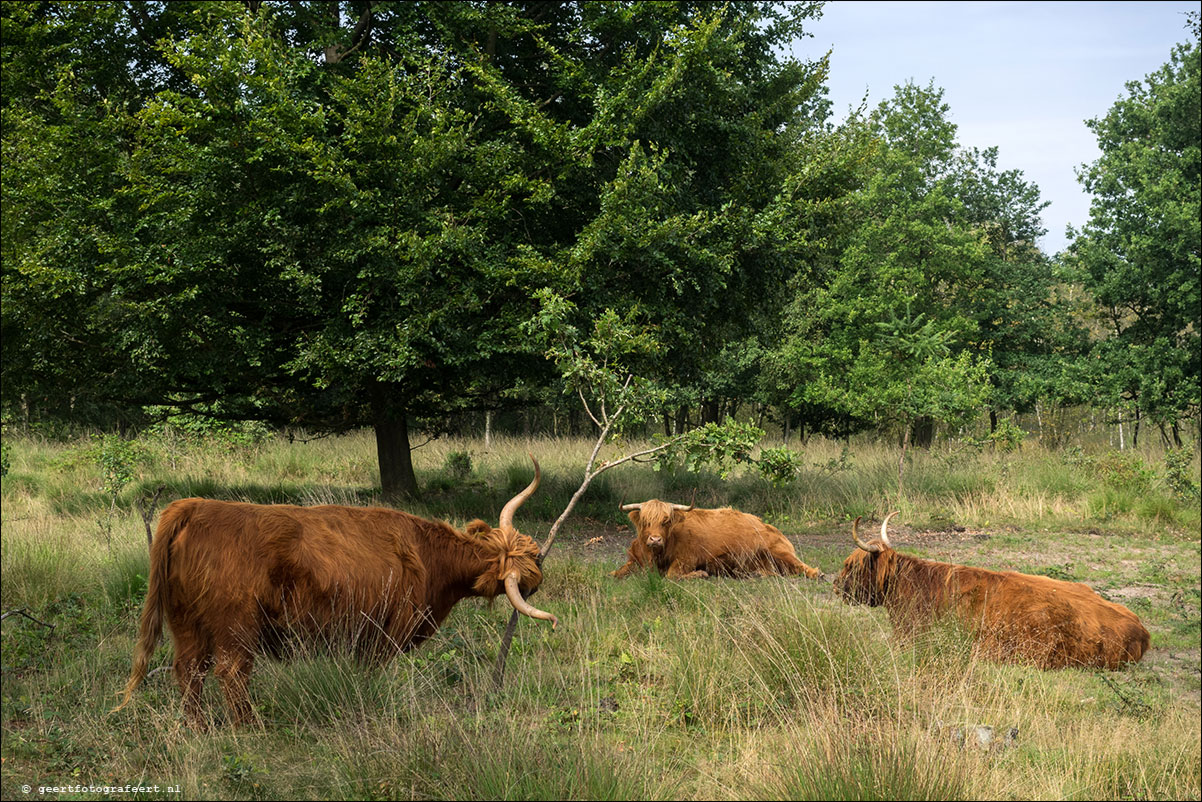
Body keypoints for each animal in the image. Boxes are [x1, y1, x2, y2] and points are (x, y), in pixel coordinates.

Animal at [610, 497, 826, 579]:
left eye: (666, 520)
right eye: (645, 521)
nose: (655, 540)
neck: (656, 556)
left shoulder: (686, 559)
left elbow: (672, 575)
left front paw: (700, 574)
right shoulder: (635, 560)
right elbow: (616, 572)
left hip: (779, 551)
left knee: (802, 567)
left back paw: (818, 574)